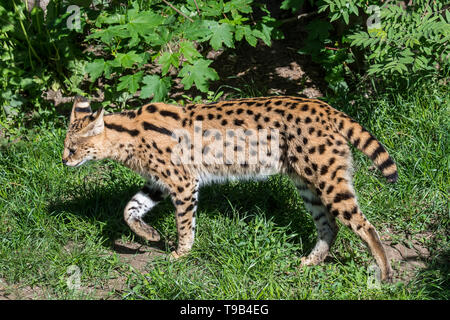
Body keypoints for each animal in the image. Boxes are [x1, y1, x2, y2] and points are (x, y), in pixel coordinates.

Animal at [61, 95, 396, 280]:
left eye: (73, 148)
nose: (63, 161)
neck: (128, 135)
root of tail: (324, 106)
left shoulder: (184, 182)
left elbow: (185, 224)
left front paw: (181, 253)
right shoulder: (159, 183)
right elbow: (129, 210)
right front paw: (150, 235)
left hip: (327, 180)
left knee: (365, 226)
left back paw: (385, 274)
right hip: (307, 182)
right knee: (329, 226)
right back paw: (312, 261)